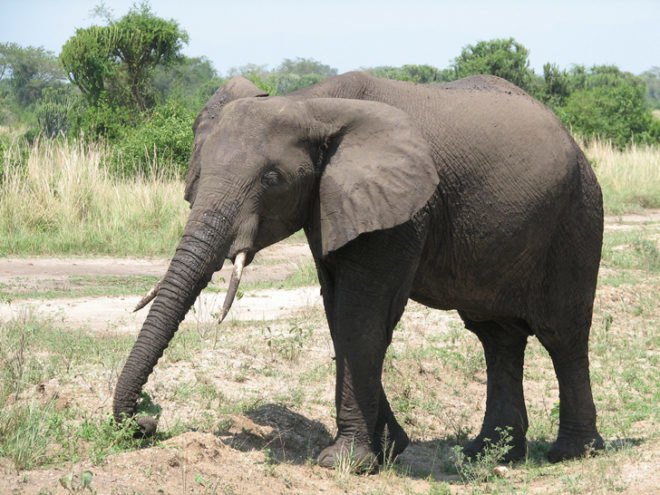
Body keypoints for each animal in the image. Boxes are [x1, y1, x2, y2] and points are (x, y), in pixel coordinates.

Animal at [113, 71, 605, 469]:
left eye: (271, 180)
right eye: (197, 174)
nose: (147, 422)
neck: (309, 105)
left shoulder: (403, 210)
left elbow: (361, 317)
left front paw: (346, 461)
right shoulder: (330, 202)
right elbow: (339, 315)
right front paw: (389, 448)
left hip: (576, 215)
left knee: (563, 334)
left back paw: (572, 453)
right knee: (496, 337)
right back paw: (490, 453)